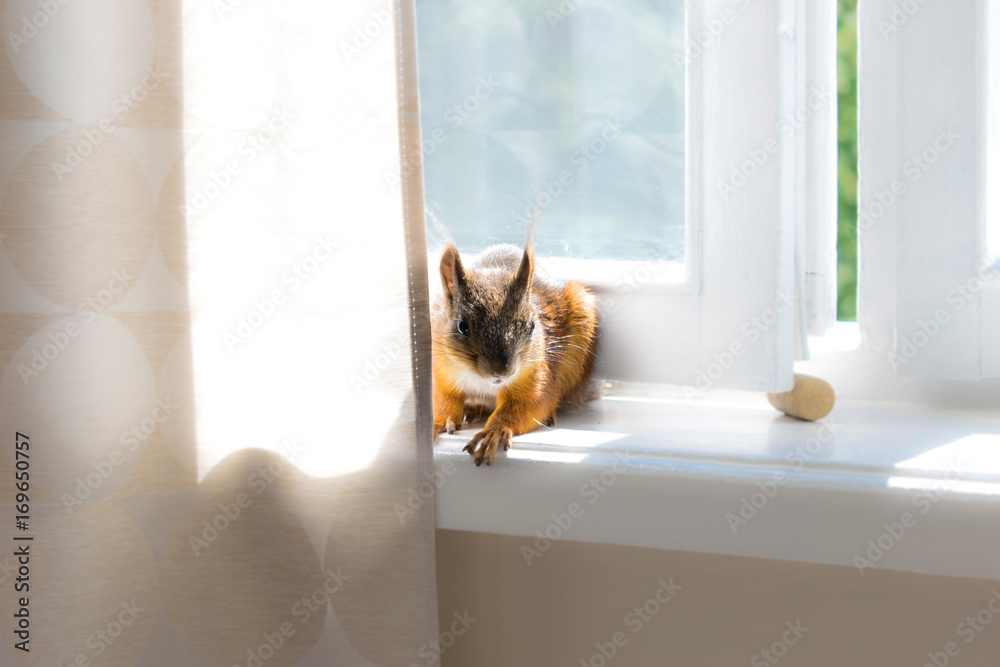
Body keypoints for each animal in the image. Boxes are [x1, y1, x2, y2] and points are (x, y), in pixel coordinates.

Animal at [428, 243, 592, 468]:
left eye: (532, 326)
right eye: (462, 326)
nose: (503, 372)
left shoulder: (535, 374)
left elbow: (533, 401)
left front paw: (494, 431)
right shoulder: (441, 369)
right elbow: (444, 398)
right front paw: (439, 420)